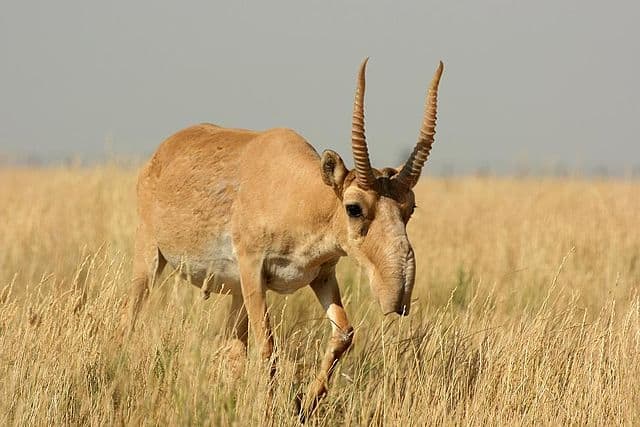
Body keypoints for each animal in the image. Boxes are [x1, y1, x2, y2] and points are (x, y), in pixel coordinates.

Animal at [130, 57, 440, 422]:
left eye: (410, 207)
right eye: (354, 207)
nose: (398, 294)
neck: (299, 194)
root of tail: (162, 152)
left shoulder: (322, 275)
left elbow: (343, 333)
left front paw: (303, 405)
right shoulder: (253, 271)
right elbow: (267, 345)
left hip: (236, 294)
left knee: (231, 350)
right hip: (150, 259)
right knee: (132, 315)